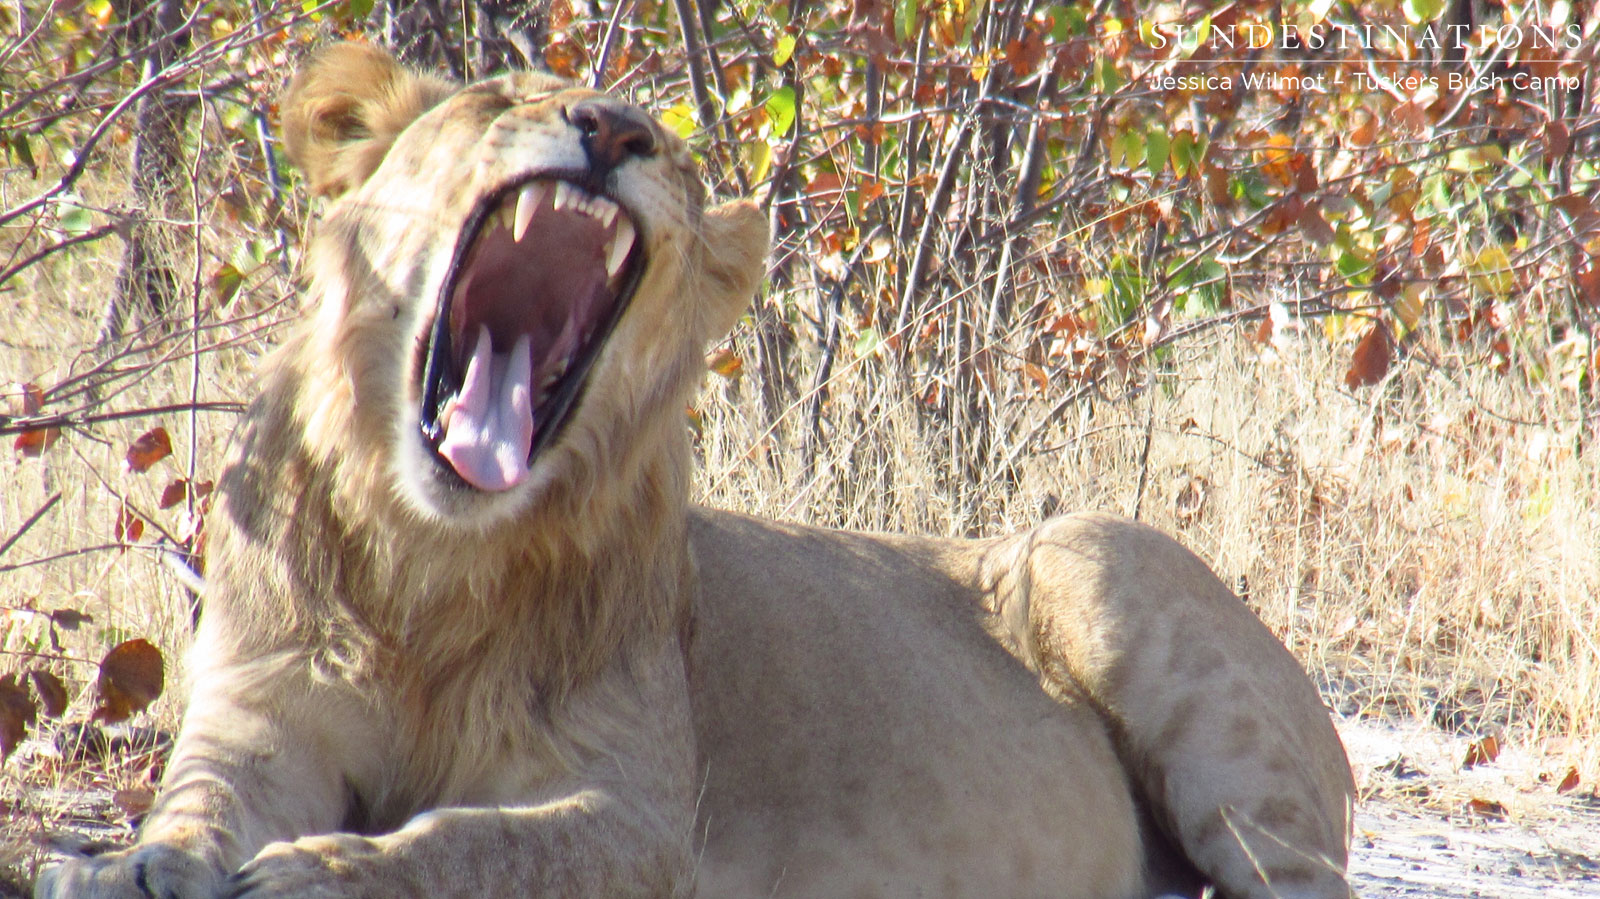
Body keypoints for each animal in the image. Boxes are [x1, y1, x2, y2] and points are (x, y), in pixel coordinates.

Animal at [36, 43, 1355, 899]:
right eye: (501, 99)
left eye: (669, 152)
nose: (613, 129)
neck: (433, 560)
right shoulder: (262, 716)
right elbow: (200, 799)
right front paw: (135, 867)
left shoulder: (637, 812)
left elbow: (471, 841)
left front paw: (322, 871)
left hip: (1105, 561)